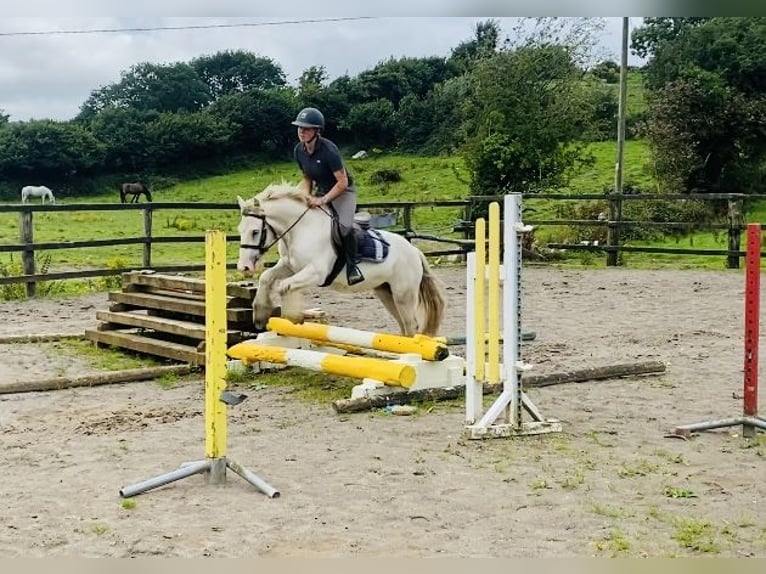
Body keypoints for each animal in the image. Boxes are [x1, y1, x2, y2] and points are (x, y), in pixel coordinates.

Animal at [237, 184, 448, 338]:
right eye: (240, 230)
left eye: (255, 231)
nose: (244, 267)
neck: (302, 229)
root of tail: (414, 251)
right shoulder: (289, 266)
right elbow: (266, 277)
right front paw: (260, 315)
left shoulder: (315, 272)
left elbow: (284, 286)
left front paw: (291, 320)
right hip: (386, 292)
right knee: (404, 324)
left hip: (404, 294)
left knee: (411, 325)